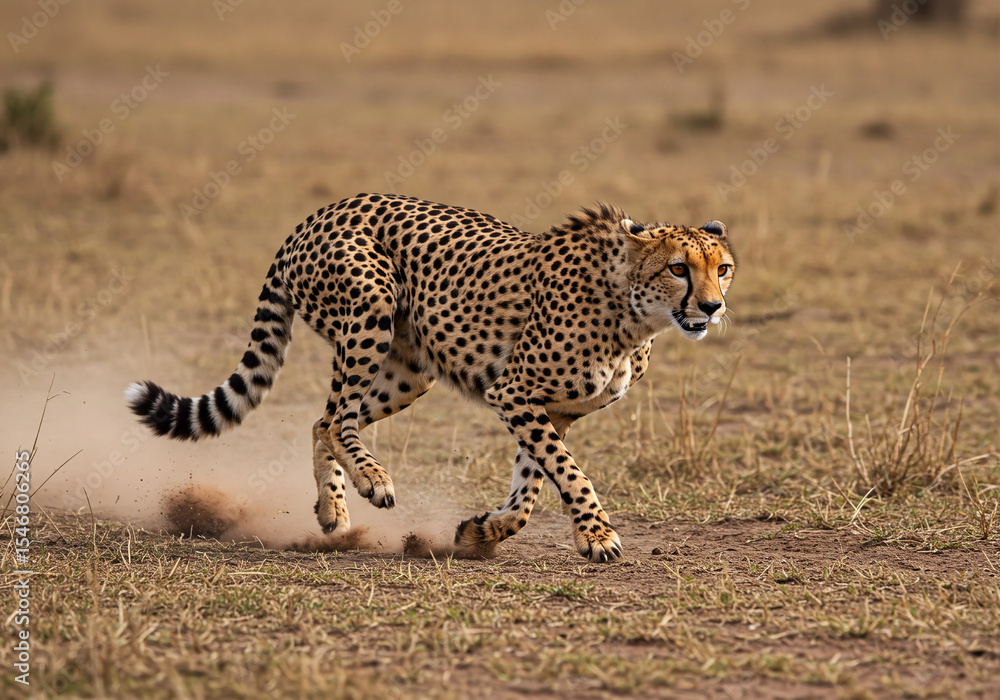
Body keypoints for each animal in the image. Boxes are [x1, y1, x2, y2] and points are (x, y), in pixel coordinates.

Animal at [126, 193, 735, 562]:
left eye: (722, 268)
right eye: (679, 268)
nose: (712, 307)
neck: (632, 311)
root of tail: (323, 211)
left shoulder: (549, 410)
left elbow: (533, 485)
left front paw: (481, 533)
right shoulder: (514, 392)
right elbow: (568, 473)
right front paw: (598, 534)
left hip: (411, 369)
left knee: (325, 419)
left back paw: (333, 511)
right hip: (370, 304)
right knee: (339, 418)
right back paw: (373, 480)